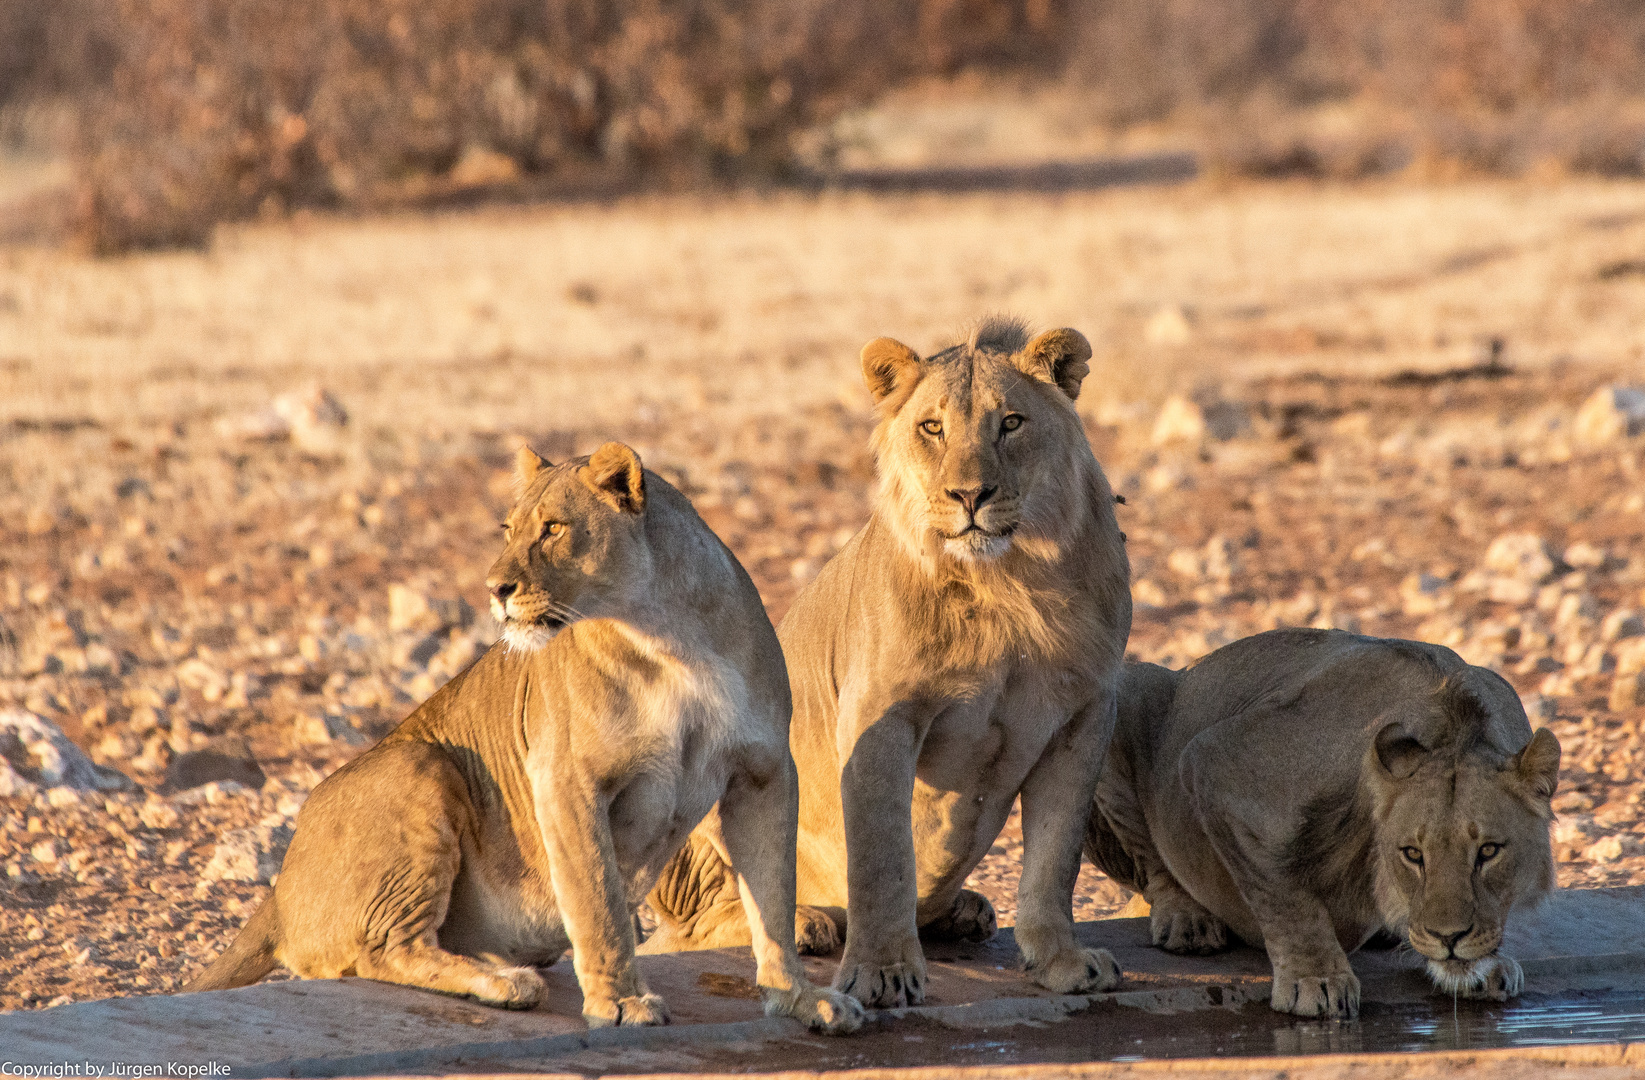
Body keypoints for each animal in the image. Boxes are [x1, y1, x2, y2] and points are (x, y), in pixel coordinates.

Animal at [186, 443, 861, 1032]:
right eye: (507, 529)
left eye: (554, 529)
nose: (494, 590)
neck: (672, 640)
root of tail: (278, 890)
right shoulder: (566, 780)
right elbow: (599, 901)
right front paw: (621, 1003)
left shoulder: (763, 772)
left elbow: (773, 894)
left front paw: (802, 1000)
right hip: (420, 764)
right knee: (382, 948)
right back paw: (502, 983)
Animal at [648, 315, 1138, 1006]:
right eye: (932, 427)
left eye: (1012, 423)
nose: (969, 494)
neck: (1006, 585)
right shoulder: (879, 718)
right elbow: (882, 857)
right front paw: (881, 973)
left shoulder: (1084, 715)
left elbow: (1054, 857)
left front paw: (1062, 963)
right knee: (702, 923)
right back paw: (808, 922)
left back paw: (965, 911)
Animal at [1085, 627, 1559, 1012]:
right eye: (1412, 854)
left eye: (1489, 851)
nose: (1448, 939)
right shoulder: (1217, 764)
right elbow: (1284, 895)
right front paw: (1317, 979)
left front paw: (1485, 965)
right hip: (1119, 696)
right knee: (1154, 865)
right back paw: (1187, 919)